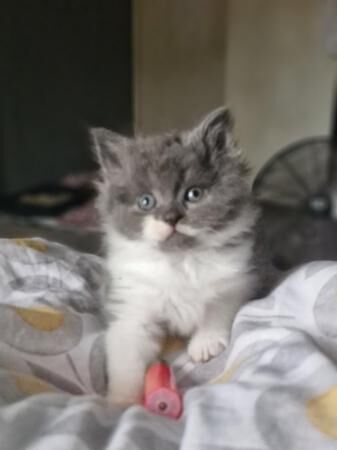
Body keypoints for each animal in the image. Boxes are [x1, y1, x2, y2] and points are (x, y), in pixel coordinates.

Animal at [91, 108, 262, 404]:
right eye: (146, 202)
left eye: (193, 194)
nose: (171, 217)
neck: (181, 260)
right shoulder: (131, 306)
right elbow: (126, 359)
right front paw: (121, 402)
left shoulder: (237, 279)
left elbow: (216, 307)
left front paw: (205, 344)